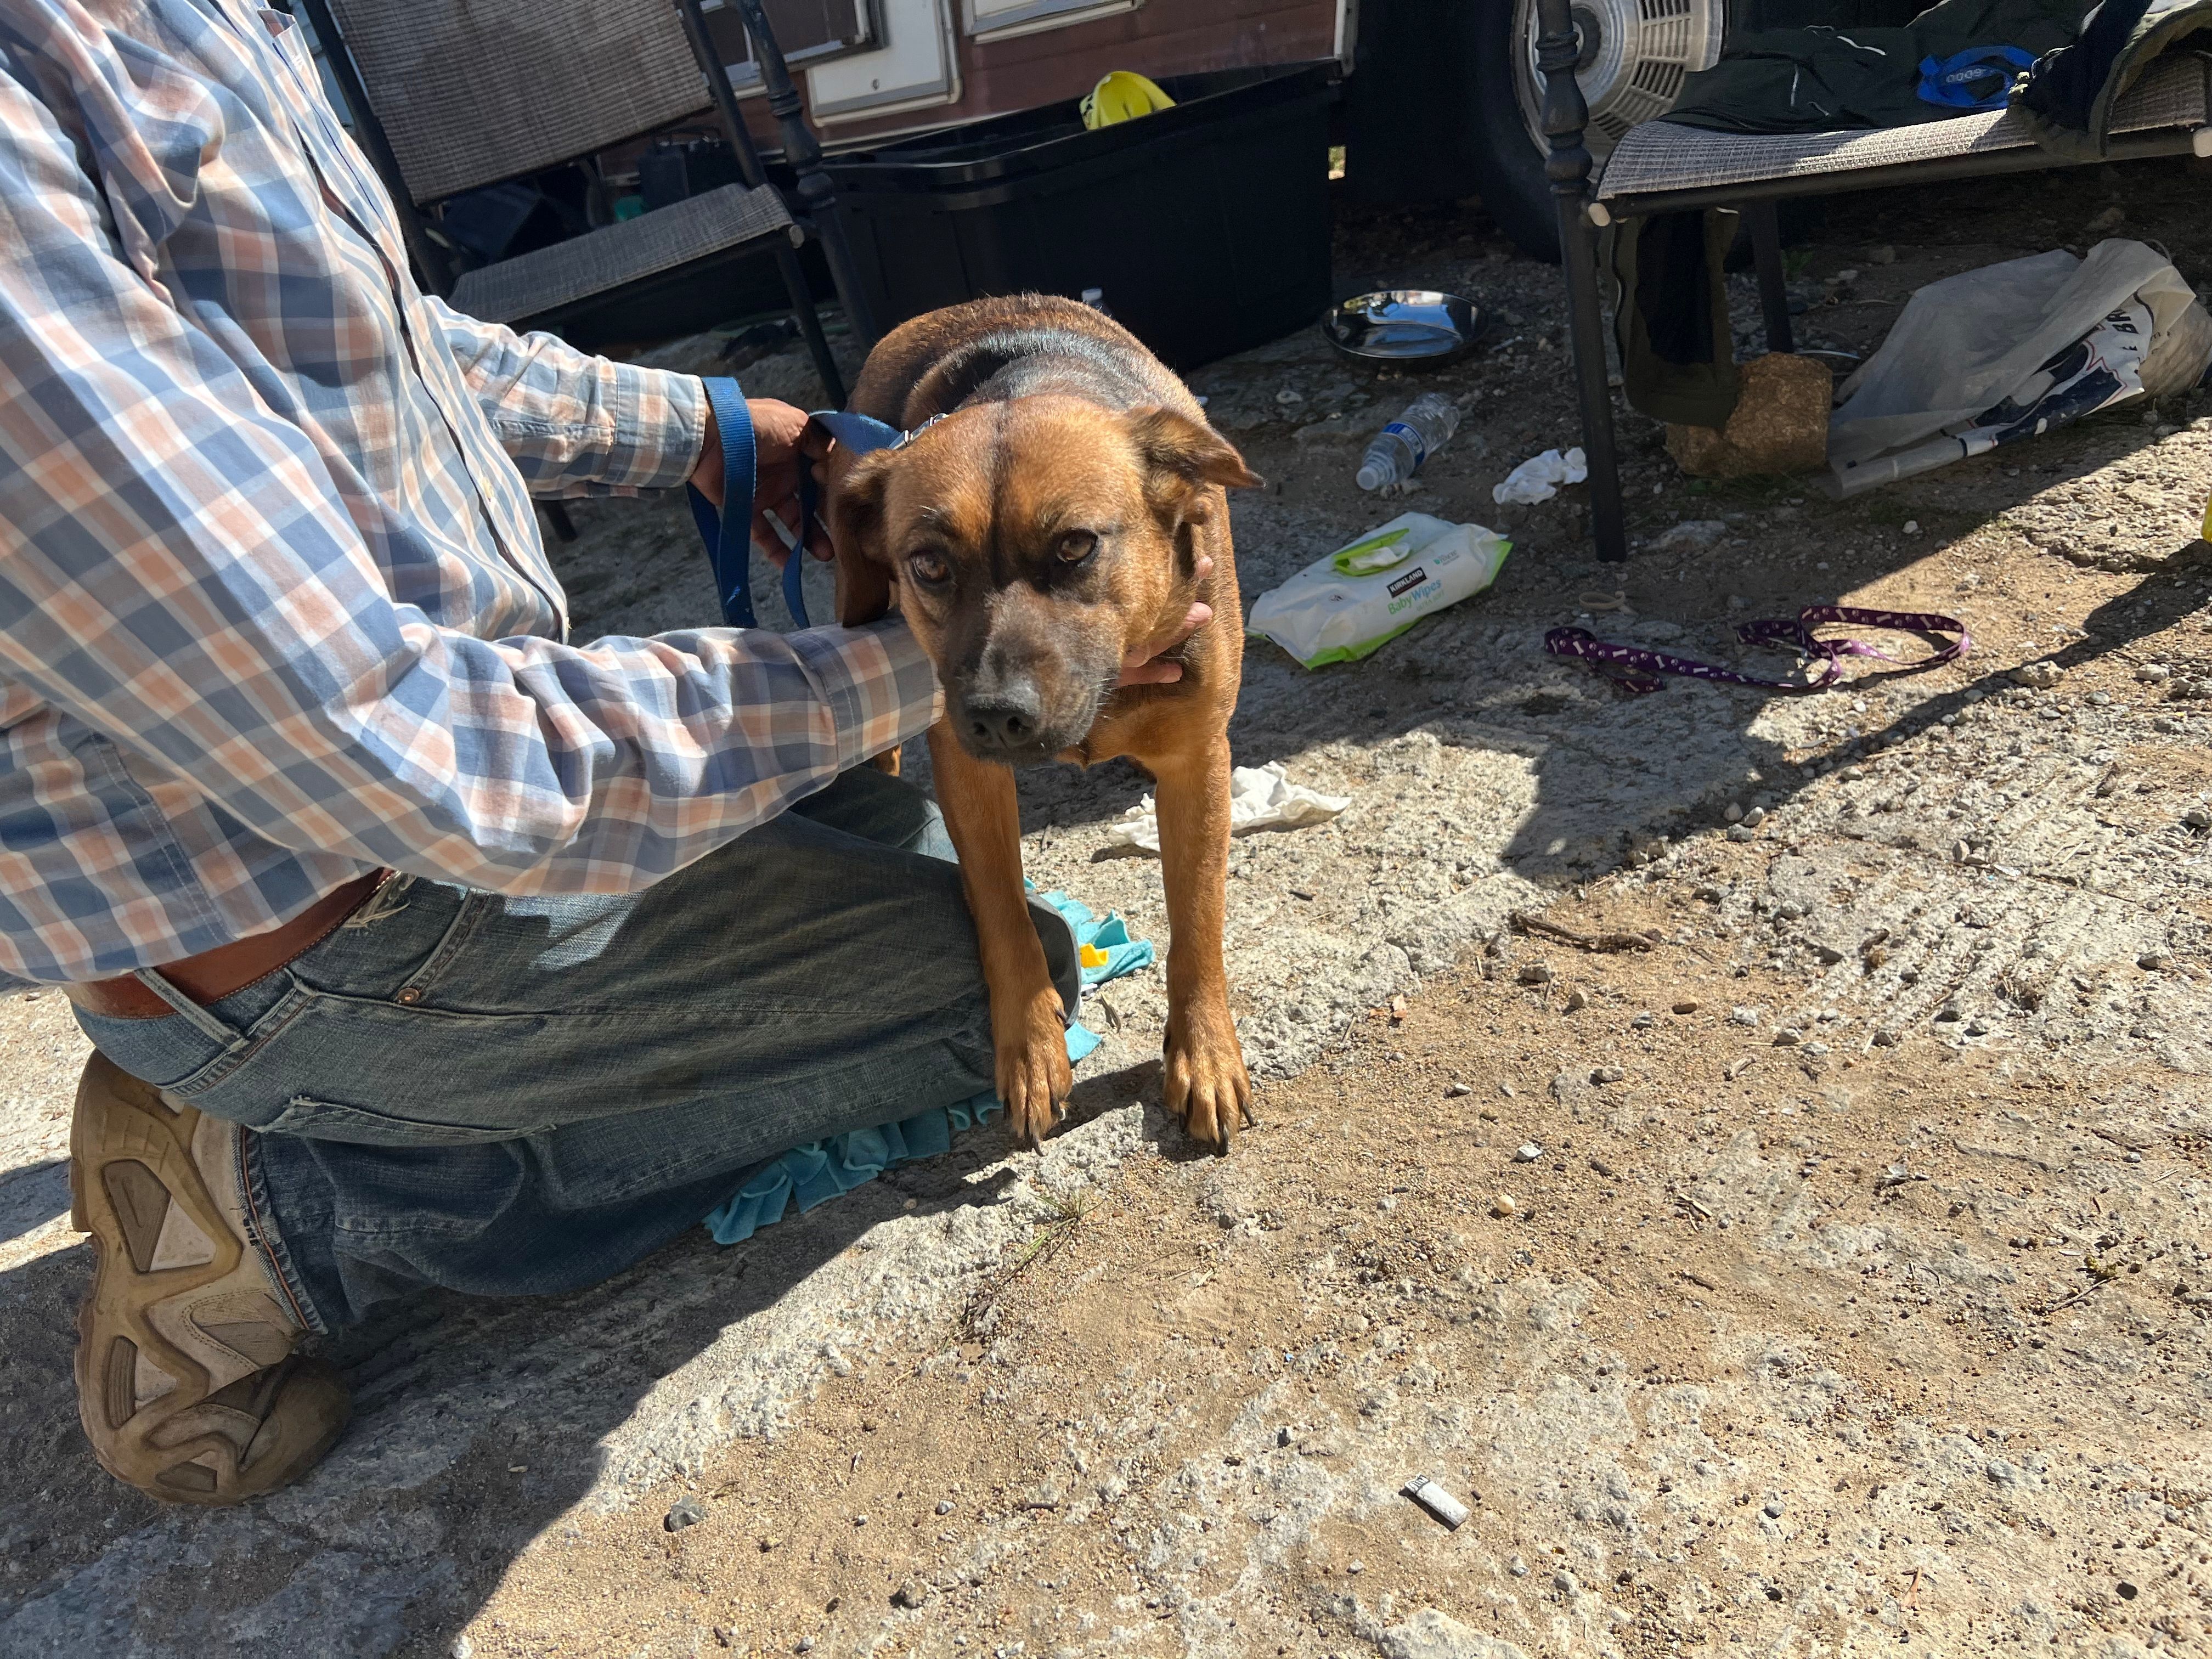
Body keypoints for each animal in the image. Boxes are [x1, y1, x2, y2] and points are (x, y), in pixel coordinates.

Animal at [827, 298, 1265, 1150]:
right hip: (852, 599)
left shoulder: (1198, 759)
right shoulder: (967, 771)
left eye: (1074, 546)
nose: (998, 716)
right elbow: (1001, 908)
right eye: (929, 564)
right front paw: (1030, 1046)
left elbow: (1198, 920)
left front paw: (1204, 1053)